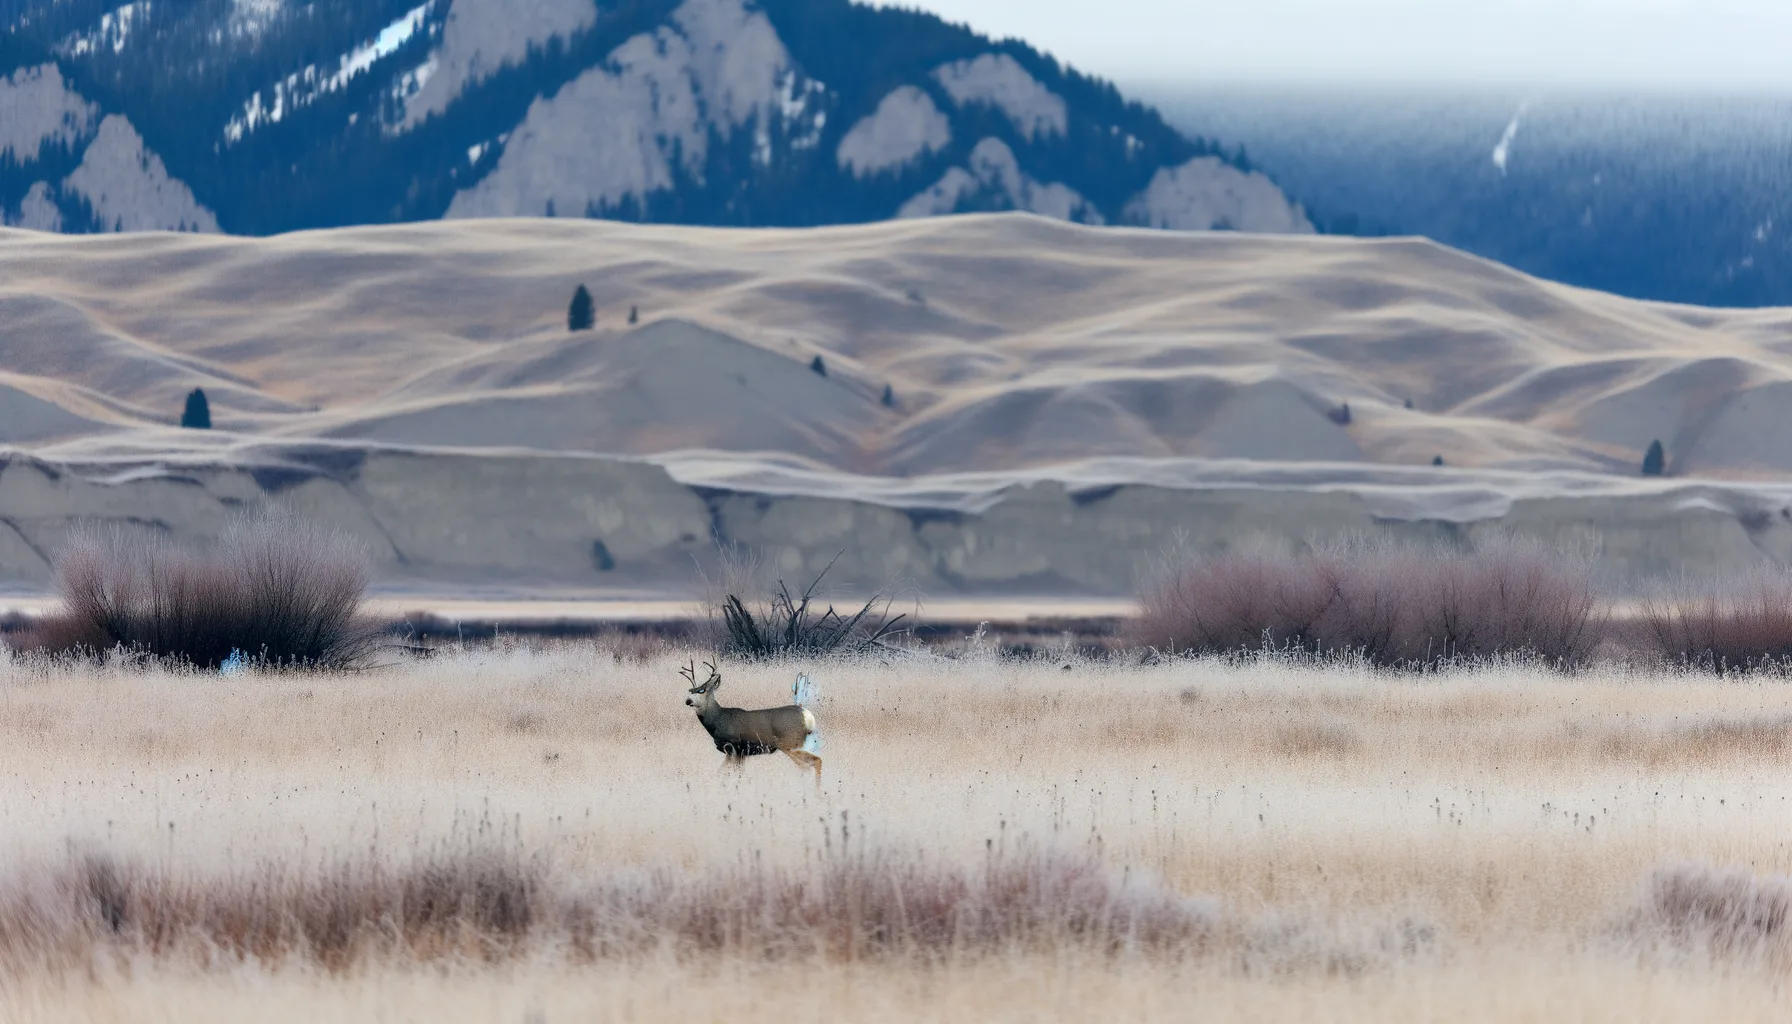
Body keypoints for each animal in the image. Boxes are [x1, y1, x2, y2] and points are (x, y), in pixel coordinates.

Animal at [682, 660, 822, 780]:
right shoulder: (734, 753)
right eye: (690, 690)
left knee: (809, 765)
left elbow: (737, 773)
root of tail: (808, 716)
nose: (687, 701)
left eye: (701, 690)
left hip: (789, 743)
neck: (717, 719)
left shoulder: (736, 746)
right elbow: (721, 771)